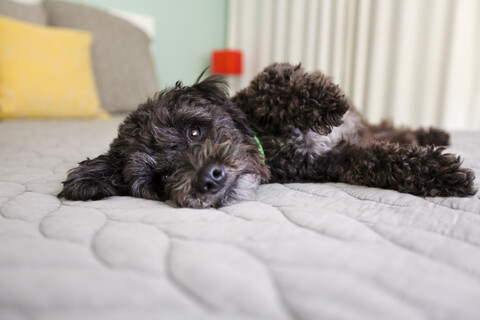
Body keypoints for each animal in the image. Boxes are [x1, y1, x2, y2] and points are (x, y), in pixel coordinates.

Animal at [57, 62, 476, 209]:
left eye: (194, 130)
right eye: (161, 180)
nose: (209, 179)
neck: (269, 146)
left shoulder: (255, 97)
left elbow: (271, 81)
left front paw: (326, 101)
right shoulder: (335, 161)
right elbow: (380, 162)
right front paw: (442, 174)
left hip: (369, 127)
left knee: (396, 129)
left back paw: (436, 132)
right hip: (366, 138)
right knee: (392, 139)